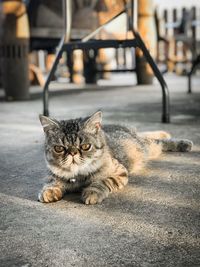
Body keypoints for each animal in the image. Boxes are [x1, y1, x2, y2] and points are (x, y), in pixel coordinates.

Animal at [38, 111, 193, 205]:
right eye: (59, 148)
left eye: (85, 146)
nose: (72, 152)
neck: (78, 176)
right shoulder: (52, 174)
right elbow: (52, 181)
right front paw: (49, 191)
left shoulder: (119, 172)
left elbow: (102, 181)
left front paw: (92, 192)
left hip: (147, 148)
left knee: (158, 142)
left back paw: (183, 143)